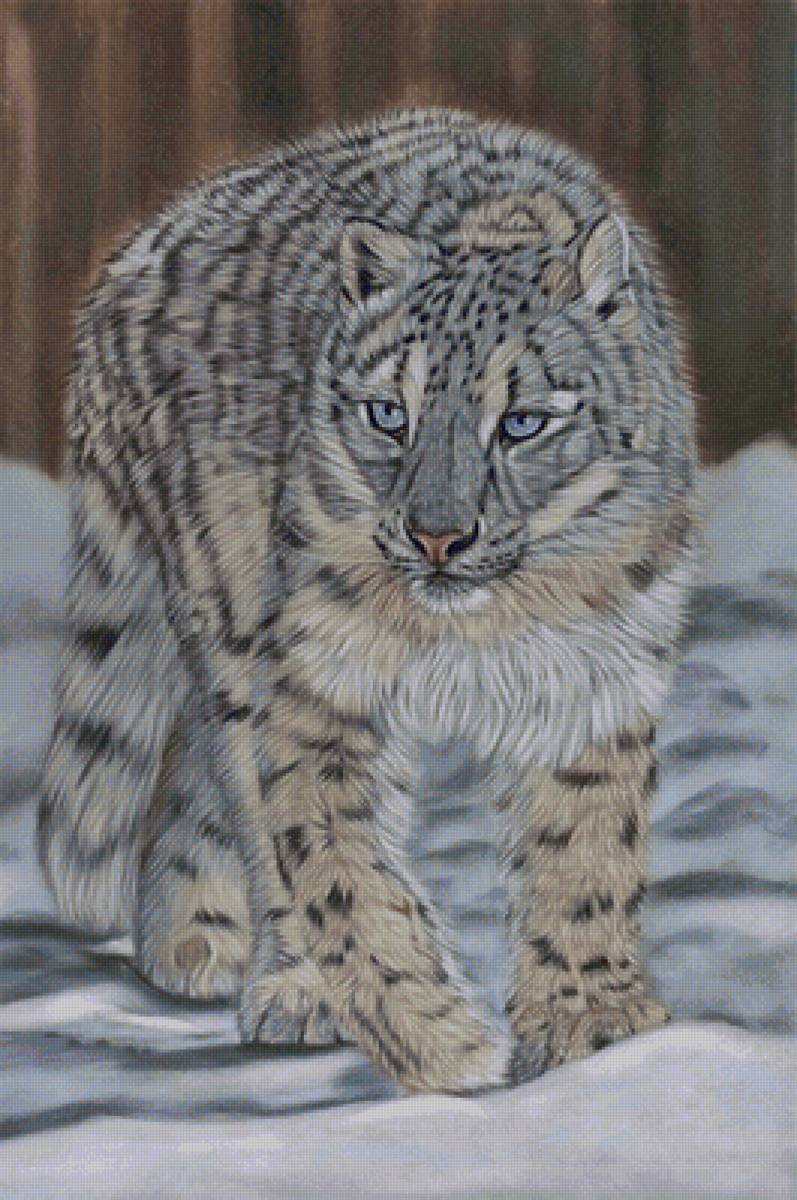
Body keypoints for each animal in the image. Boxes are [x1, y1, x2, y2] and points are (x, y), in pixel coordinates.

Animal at [39, 108, 697, 1094]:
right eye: (389, 414)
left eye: (522, 422)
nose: (437, 536)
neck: (484, 629)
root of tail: (131, 257)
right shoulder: (322, 680)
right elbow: (337, 864)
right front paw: (439, 1041)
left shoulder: (592, 677)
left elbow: (584, 853)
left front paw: (596, 1028)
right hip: (231, 616)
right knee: (239, 783)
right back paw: (281, 980)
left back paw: (194, 940)